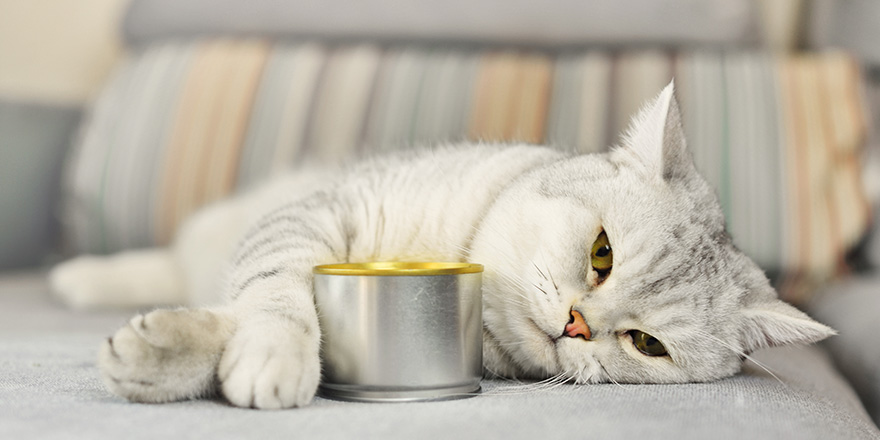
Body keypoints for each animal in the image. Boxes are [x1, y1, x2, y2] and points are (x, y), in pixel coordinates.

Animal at [51, 82, 836, 410]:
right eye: (602, 254)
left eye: (647, 346)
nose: (579, 325)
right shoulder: (313, 214)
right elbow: (274, 293)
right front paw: (264, 351)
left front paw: (166, 356)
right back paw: (80, 278)